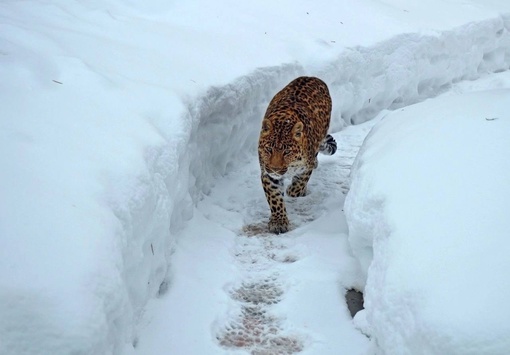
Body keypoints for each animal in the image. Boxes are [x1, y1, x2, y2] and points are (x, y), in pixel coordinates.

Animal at [256, 76, 336, 235]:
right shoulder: (267, 174)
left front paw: (294, 190)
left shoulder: (306, 166)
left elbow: (298, 184)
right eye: (268, 149)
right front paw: (278, 221)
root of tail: (313, 77)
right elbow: (274, 198)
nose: (275, 169)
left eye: (287, 152)